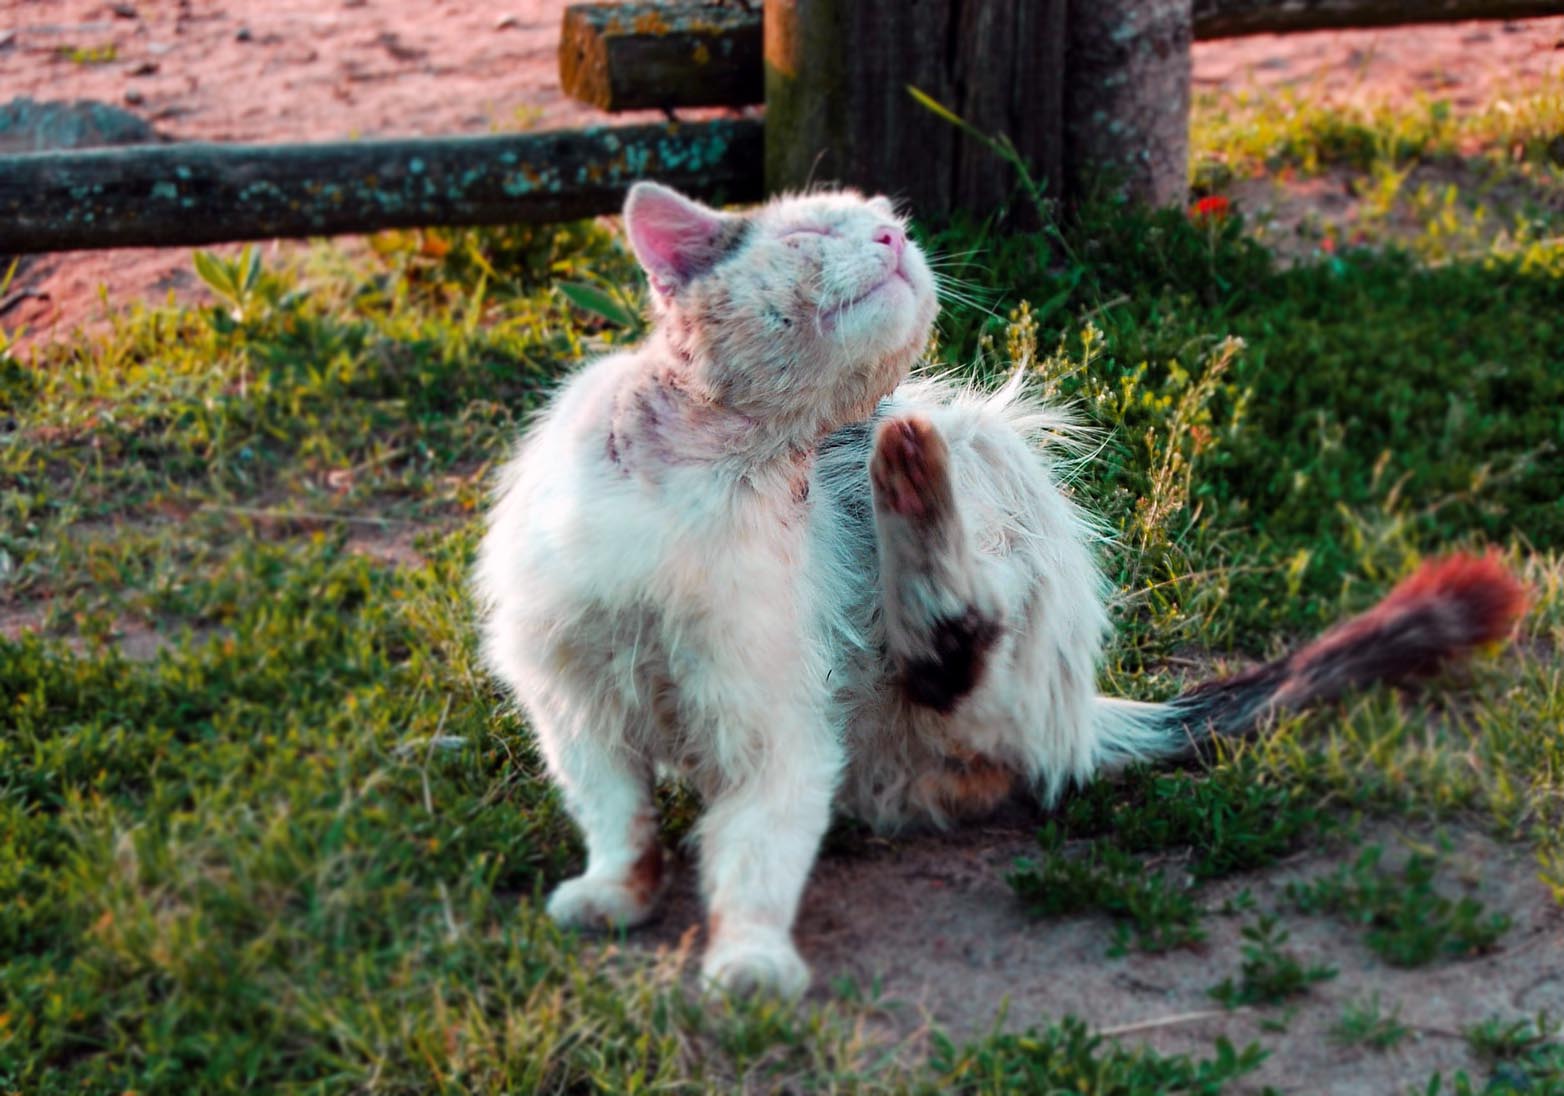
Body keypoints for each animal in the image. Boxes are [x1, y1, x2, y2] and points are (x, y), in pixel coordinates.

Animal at [475, 181, 1526, 1000]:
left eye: (889, 223)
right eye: (815, 233)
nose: (896, 241)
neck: (721, 471)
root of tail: (1086, 709)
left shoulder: (776, 729)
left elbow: (758, 856)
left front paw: (750, 961)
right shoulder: (572, 703)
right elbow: (618, 816)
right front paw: (615, 893)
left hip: (985, 443)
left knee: (970, 657)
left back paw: (911, 489)